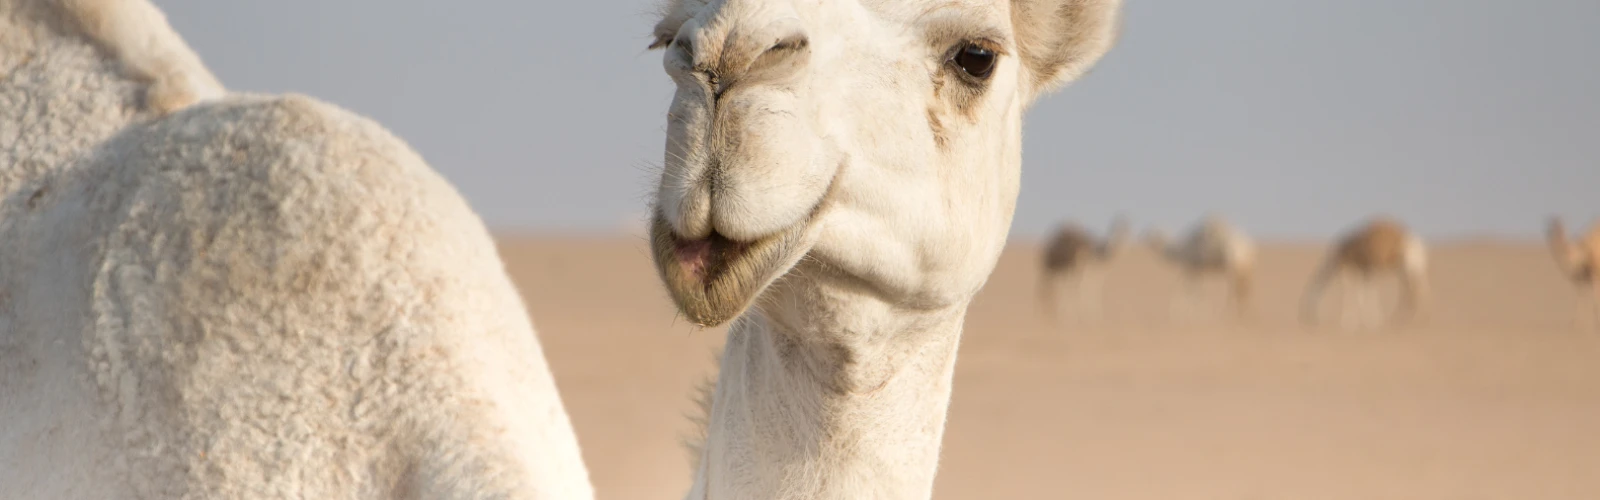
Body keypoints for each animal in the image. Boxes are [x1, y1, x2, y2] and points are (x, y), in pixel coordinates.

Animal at [1299, 216, 1430, 330]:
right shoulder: (1362, 268)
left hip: (1405, 266)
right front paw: (1363, 322)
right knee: (1412, 290)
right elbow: (1361, 292)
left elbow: (1353, 292)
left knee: (1414, 290)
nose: (1306, 318)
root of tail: (1412, 240)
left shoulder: (1358, 266)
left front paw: (1354, 323)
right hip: (1406, 268)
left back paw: (1405, 319)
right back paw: (1404, 319)